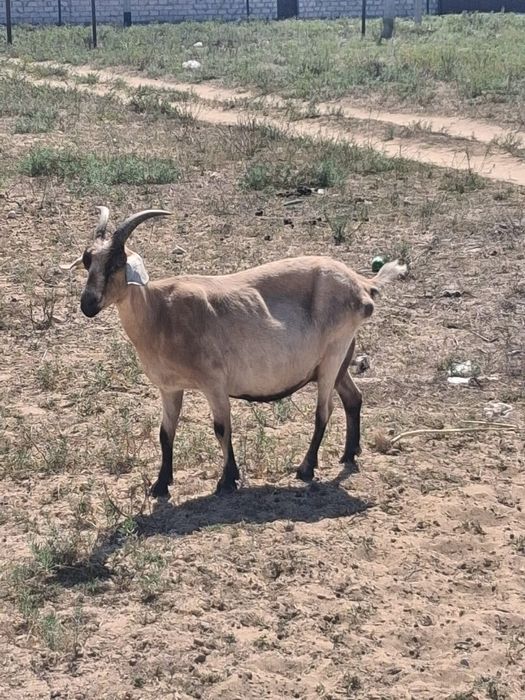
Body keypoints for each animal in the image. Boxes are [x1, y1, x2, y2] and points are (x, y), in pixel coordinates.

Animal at [64, 207, 406, 498]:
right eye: (87, 261)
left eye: (116, 264)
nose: (88, 304)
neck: (161, 311)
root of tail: (362, 285)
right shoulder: (170, 388)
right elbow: (165, 433)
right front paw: (161, 485)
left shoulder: (214, 383)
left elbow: (220, 428)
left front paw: (227, 480)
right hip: (339, 358)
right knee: (353, 398)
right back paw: (349, 454)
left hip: (334, 353)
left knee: (325, 411)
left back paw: (306, 469)